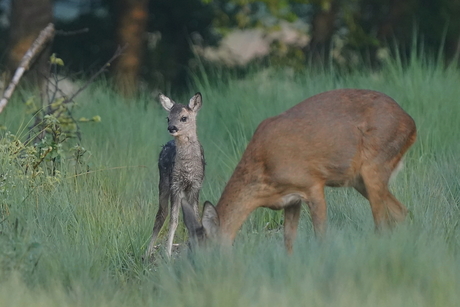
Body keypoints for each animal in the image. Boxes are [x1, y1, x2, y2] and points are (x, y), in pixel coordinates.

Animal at [145, 92, 206, 260]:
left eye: (184, 118)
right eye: (168, 117)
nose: (171, 127)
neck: (187, 167)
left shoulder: (195, 185)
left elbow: (195, 217)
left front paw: (197, 249)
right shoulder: (175, 185)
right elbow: (173, 220)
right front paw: (167, 253)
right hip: (163, 182)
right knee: (161, 214)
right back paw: (147, 252)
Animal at [182, 88, 416, 254]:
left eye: (205, 253)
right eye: (189, 252)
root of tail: (411, 123)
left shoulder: (313, 183)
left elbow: (321, 235)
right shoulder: (290, 200)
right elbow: (288, 241)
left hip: (375, 162)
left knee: (382, 222)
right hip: (360, 179)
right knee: (401, 212)